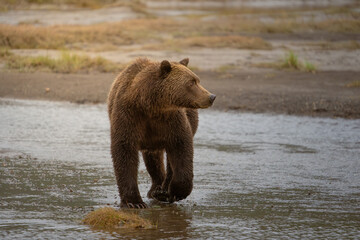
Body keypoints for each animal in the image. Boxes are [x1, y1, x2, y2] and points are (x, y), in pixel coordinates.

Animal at [106, 57, 214, 207]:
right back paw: (156, 189)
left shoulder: (171, 119)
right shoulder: (128, 115)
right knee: (153, 159)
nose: (211, 97)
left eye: (198, 80)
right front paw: (134, 202)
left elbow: (181, 146)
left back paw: (163, 190)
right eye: (191, 82)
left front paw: (176, 192)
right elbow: (124, 150)